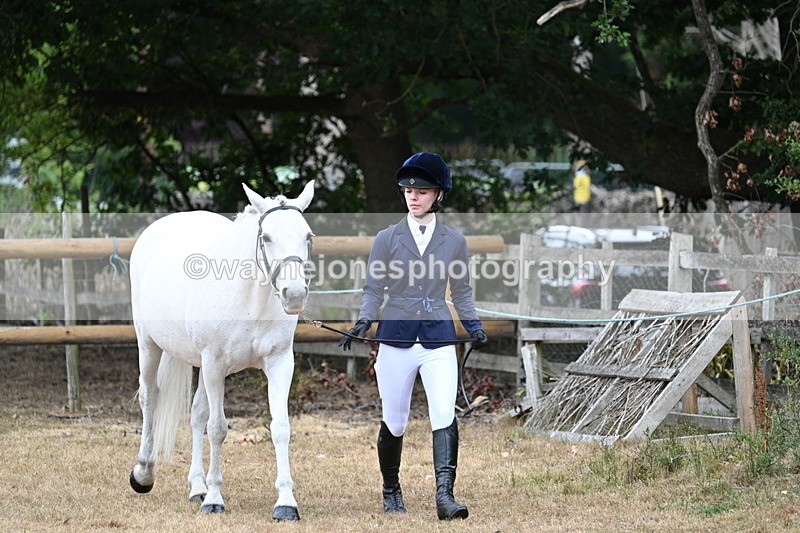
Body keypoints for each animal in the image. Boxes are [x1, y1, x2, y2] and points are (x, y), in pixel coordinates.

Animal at [127, 181, 315, 520]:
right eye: (266, 237)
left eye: (308, 236)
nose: (294, 294)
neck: (249, 300)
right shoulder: (215, 364)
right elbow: (217, 429)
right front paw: (215, 499)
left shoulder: (280, 363)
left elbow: (280, 428)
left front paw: (286, 503)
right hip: (149, 345)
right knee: (150, 398)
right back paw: (144, 474)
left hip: (200, 365)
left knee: (197, 414)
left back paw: (197, 488)